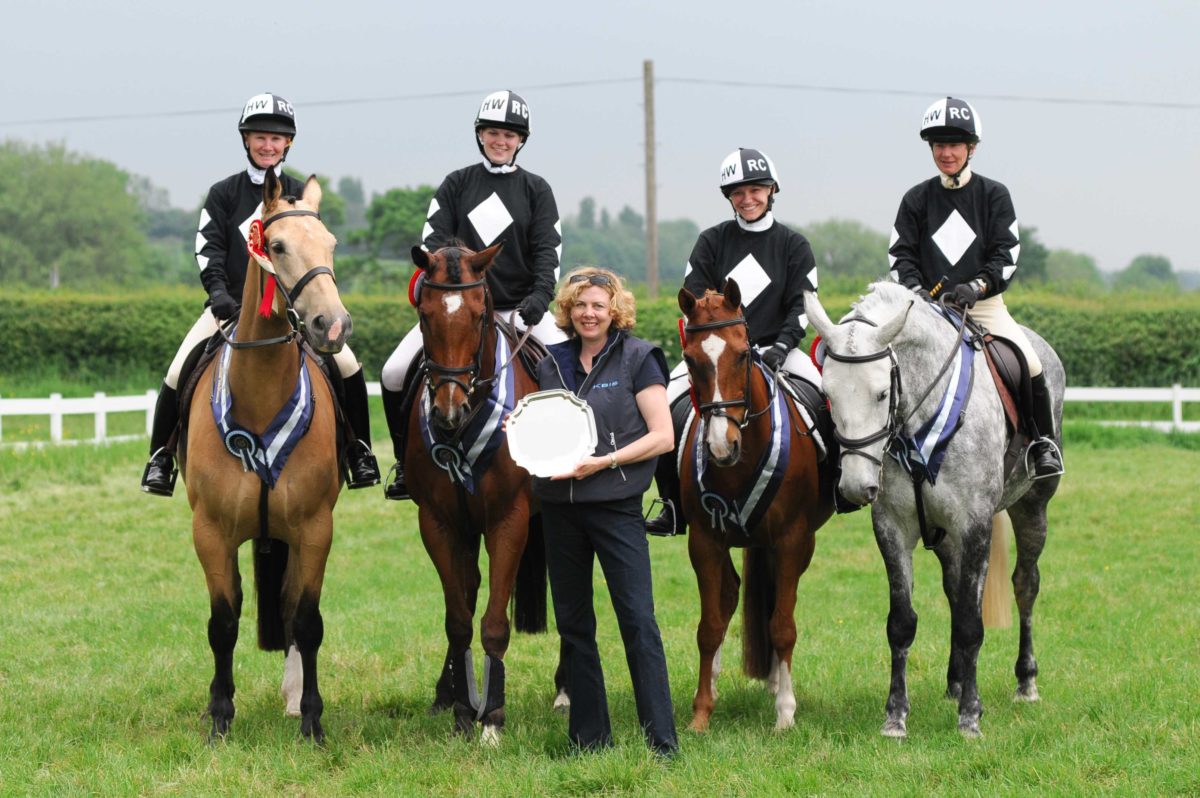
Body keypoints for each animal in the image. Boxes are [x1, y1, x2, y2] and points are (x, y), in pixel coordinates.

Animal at [177, 169, 348, 739]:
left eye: (331, 245)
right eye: (276, 246)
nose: (333, 327)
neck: (259, 399)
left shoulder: (315, 528)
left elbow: (307, 620)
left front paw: (312, 721)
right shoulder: (210, 532)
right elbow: (223, 622)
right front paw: (219, 718)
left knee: (291, 606)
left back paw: (294, 698)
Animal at [403, 240, 552, 744]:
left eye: (477, 315)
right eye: (425, 314)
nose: (448, 413)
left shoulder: (509, 520)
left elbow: (493, 625)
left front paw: (493, 718)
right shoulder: (439, 523)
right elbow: (458, 620)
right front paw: (465, 711)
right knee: (467, 594)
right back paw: (447, 694)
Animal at [676, 279, 835, 729]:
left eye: (743, 354)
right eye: (690, 359)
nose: (720, 446)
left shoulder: (793, 540)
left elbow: (783, 625)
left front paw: (785, 714)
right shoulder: (704, 541)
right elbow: (709, 625)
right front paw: (701, 713)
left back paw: (778, 687)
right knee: (730, 596)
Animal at [801, 283, 1065, 739]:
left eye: (881, 393)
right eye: (829, 396)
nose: (855, 487)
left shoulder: (974, 524)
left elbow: (972, 623)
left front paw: (970, 717)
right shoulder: (892, 527)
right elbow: (902, 622)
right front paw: (895, 717)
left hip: (1032, 507)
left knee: (1025, 585)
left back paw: (1025, 682)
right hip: (943, 536)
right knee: (956, 592)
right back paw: (955, 683)